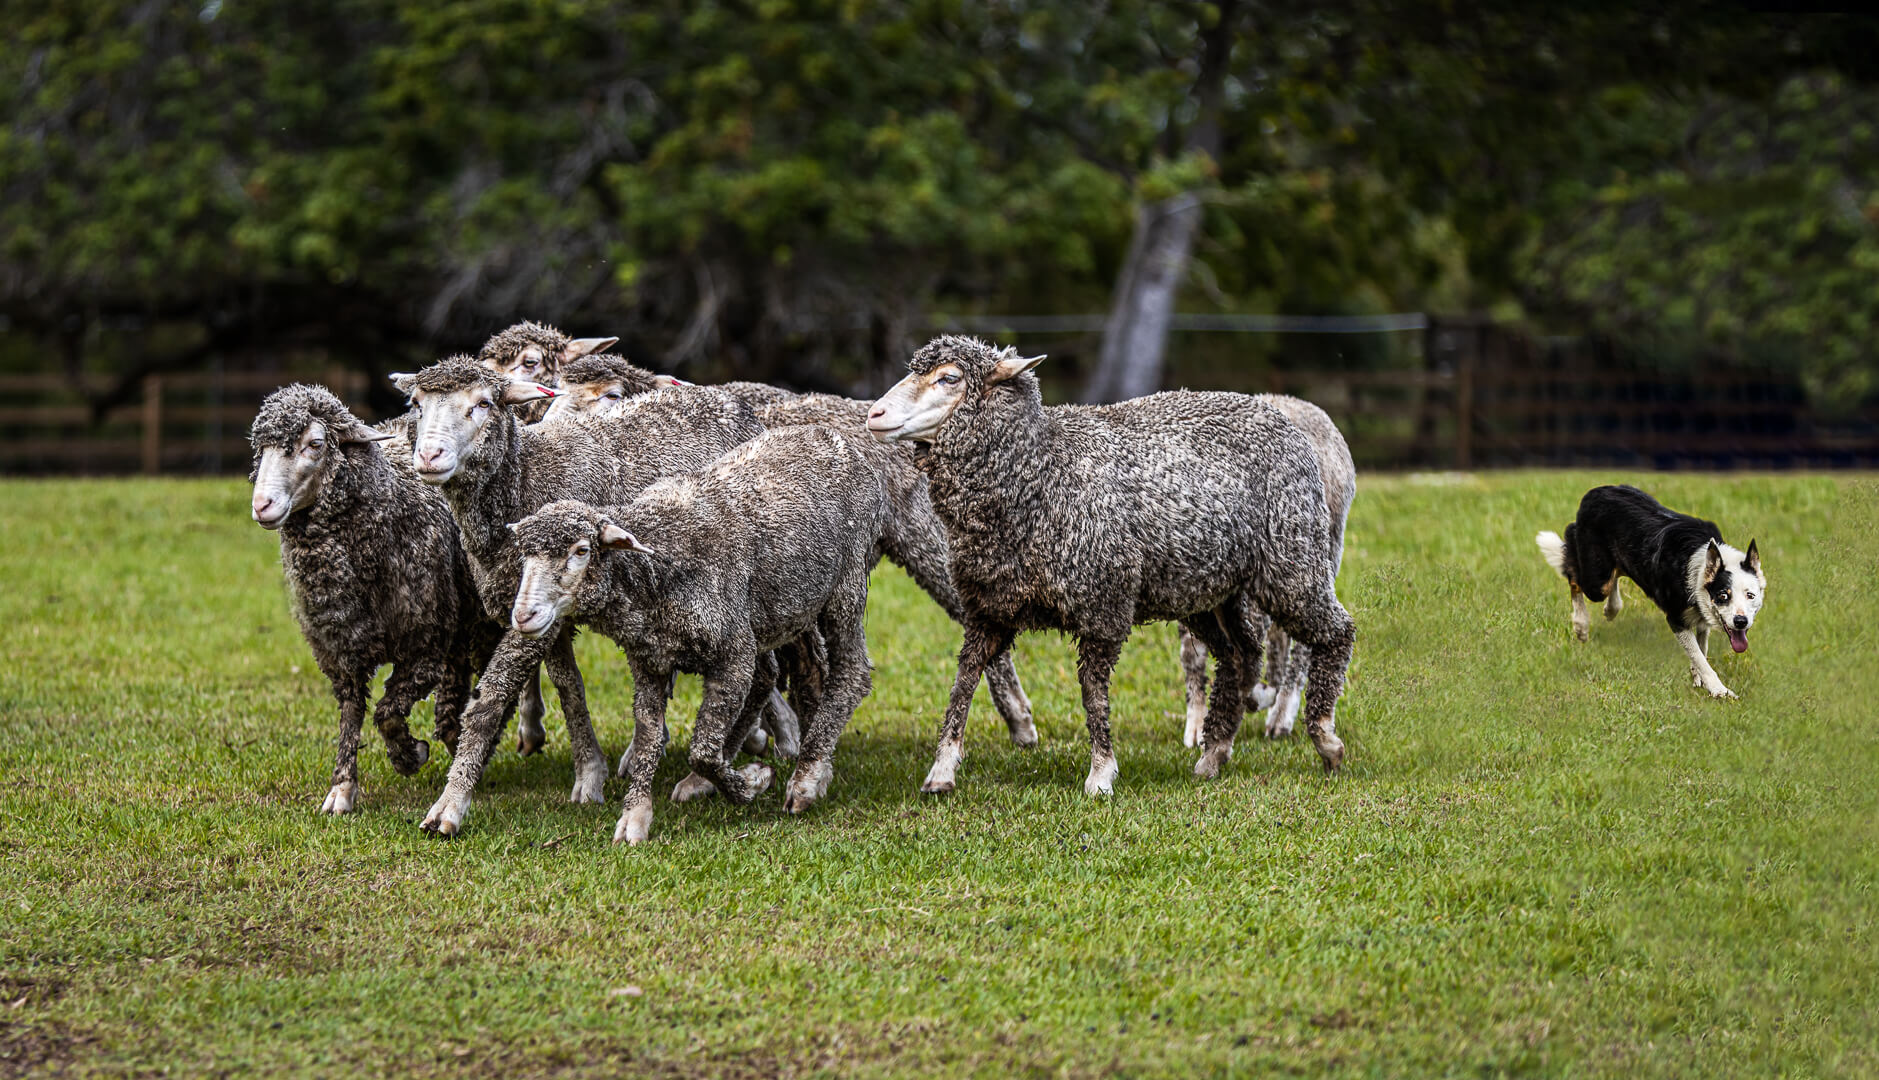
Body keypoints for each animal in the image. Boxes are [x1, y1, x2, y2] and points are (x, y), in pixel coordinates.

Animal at [249, 385, 499, 815]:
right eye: (260, 449)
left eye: (315, 444)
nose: (261, 505)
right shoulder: (343, 649)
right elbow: (352, 714)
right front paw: (342, 789)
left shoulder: (422, 646)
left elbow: (387, 713)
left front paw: (410, 755)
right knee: (457, 677)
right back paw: (453, 735)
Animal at [396, 356, 770, 837]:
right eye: (416, 404)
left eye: (482, 404)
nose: (429, 456)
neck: (527, 479)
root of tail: (722, 396)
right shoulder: (542, 612)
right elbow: (569, 686)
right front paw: (590, 773)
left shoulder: (536, 612)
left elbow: (490, 699)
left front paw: (450, 804)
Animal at [1172, 392, 1352, 747]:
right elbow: (1193, 660)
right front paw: (1197, 726)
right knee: (1281, 641)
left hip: (1313, 561)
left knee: (1303, 648)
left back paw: (1280, 716)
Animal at [1533, 488, 1766, 702]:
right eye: (1723, 596)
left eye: (1750, 595)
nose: (1741, 622)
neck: (1702, 567)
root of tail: (1593, 493)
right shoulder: (1676, 617)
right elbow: (1699, 656)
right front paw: (1719, 690)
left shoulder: (1702, 613)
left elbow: (1702, 649)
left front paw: (1698, 677)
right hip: (1597, 580)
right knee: (1574, 577)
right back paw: (1581, 625)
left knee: (1615, 575)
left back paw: (1611, 609)